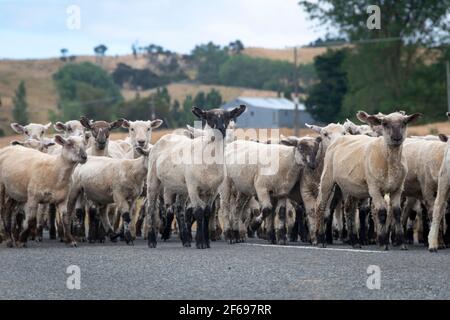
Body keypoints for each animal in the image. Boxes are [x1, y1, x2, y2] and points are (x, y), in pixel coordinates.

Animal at [146, 106, 246, 249]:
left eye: (228, 117)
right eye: (209, 118)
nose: (220, 130)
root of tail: (166, 136)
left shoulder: (212, 190)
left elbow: (207, 212)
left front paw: (206, 242)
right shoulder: (193, 187)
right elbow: (198, 212)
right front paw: (200, 242)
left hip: (182, 186)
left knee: (179, 209)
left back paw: (186, 240)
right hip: (153, 178)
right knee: (151, 208)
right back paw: (152, 241)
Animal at [312, 111, 422, 249]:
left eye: (404, 122)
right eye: (384, 123)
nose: (397, 138)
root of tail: (339, 139)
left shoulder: (398, 189)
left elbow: (397, 213)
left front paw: (401, 242)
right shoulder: (374, 188)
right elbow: (381, 212)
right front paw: (383, 242)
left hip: (351, 186)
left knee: (349, 210)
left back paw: (355, 241)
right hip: (328, 178)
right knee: (320, 205)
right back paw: (321, 239)